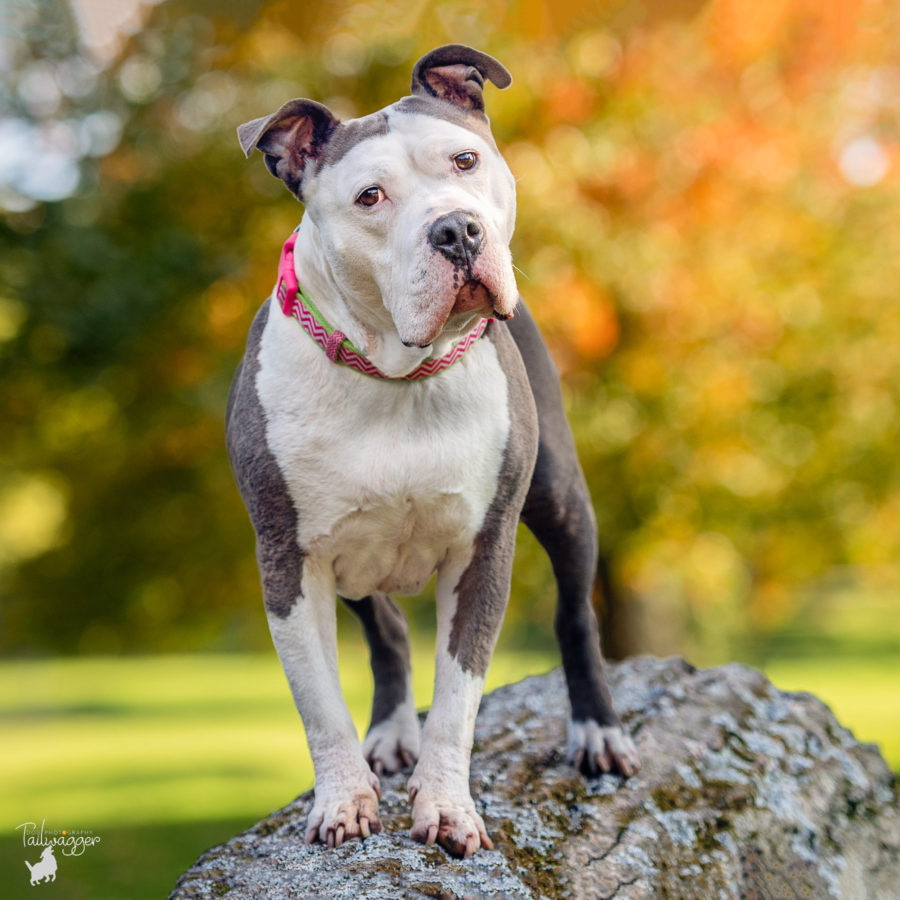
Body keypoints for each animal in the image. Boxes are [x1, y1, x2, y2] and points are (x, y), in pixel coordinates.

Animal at [230, 42, 640, 856]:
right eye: (370, 197)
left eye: (464, 160)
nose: (455, 230)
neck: (397, 376)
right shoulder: (289, 561)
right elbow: (321, 704)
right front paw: (344, 801)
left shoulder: (483, 549)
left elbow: (458, 698)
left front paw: (448, 809)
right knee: (387, 631)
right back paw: (390, 733)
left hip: (560, 499)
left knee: (576, 614)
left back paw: (598, 731)